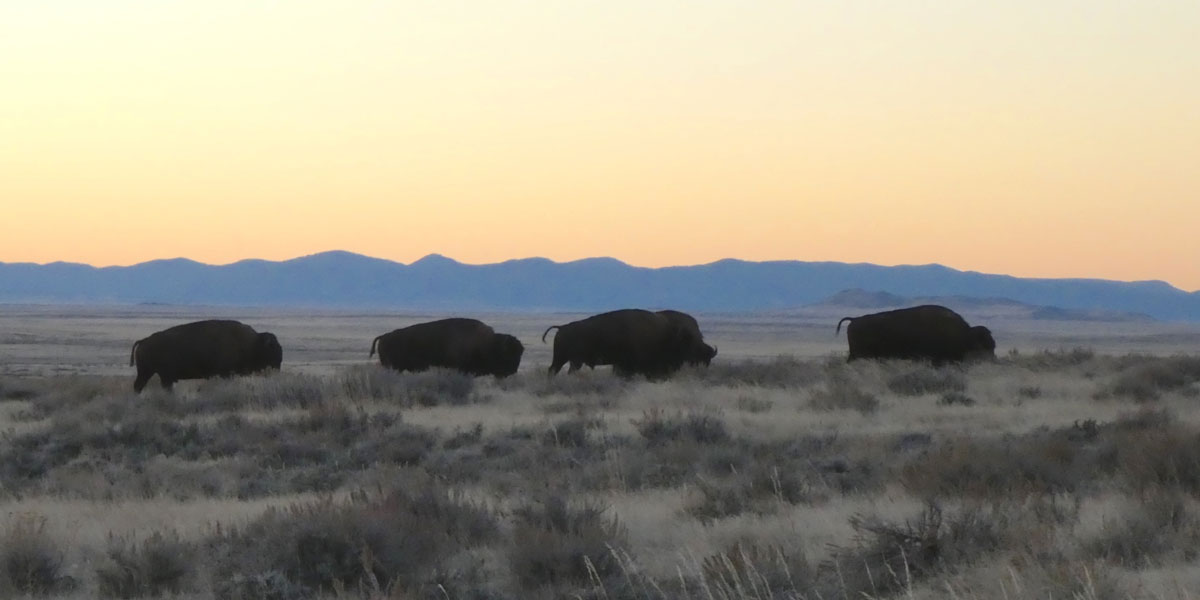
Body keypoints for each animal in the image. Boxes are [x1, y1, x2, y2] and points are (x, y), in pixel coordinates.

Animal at [130, 321, 282, 391]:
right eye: (273, 347)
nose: (279, 363)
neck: (254, 343)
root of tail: (144, 340)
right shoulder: (225, 374)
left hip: (148, 373)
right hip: (154, 374)